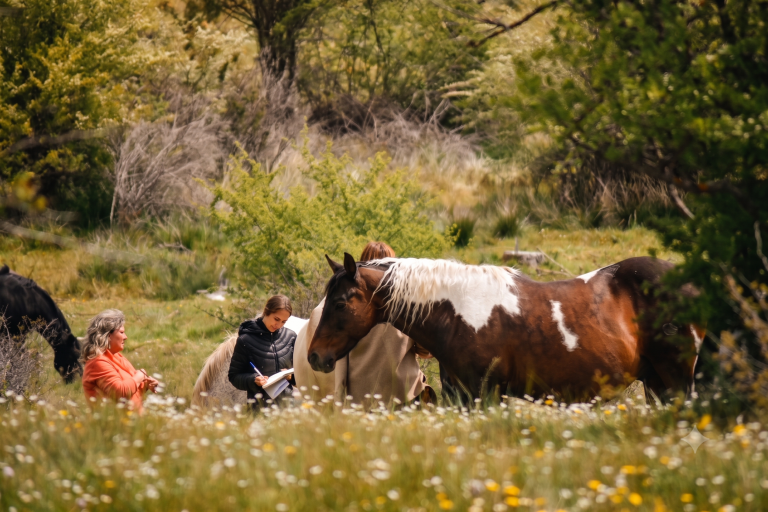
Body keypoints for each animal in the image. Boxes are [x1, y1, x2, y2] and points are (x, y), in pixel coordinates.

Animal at [308, 254, 703, 401]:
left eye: (340, 303)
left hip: (675, 380)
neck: (457, 311)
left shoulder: (485, 395)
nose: (313, 357)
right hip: (656, 383)